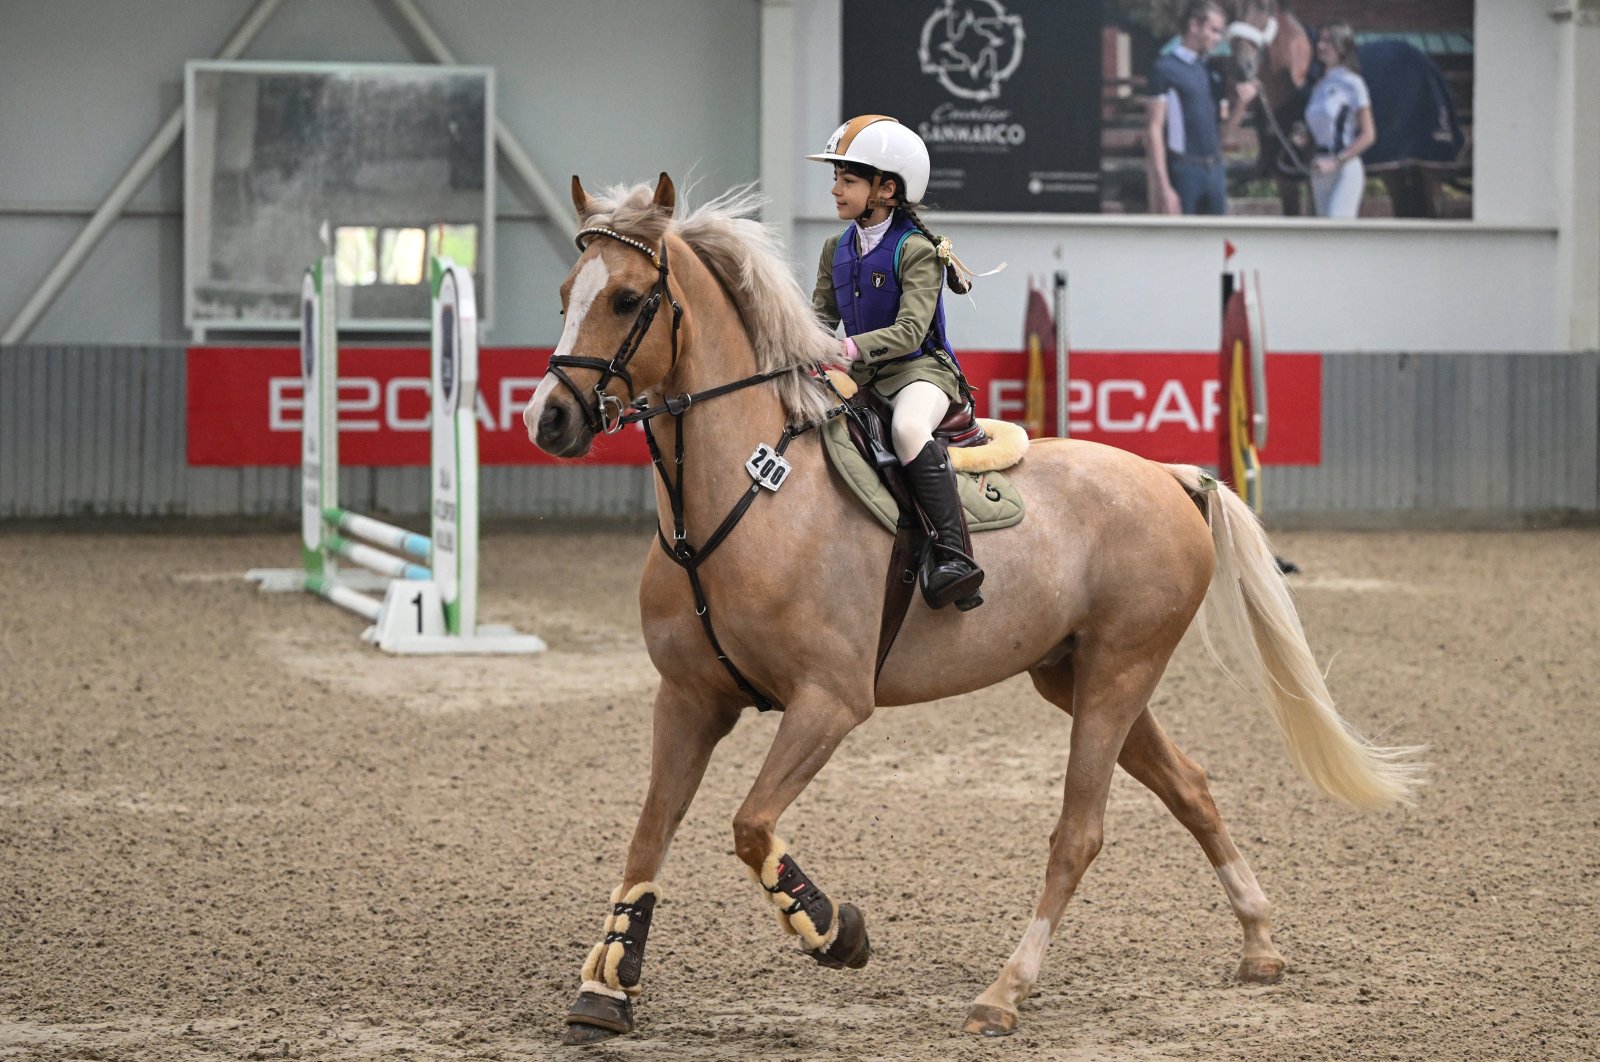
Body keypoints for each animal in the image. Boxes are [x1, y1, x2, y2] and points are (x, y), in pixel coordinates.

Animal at [524, 174, 1427, 1042]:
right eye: (566, 289)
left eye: (628, 299)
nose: (549, 418)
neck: (748, 495)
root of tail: (1169, 477)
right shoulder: (688, 700)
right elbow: (649, 833)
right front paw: (604, 987)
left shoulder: (830, 702)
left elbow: (750, 825)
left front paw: (834, 931)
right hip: (1078, 677)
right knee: (1191, 789)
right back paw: (1259, 943)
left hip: (1118, 672)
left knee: (1079, 834)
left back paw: (1003, 993)